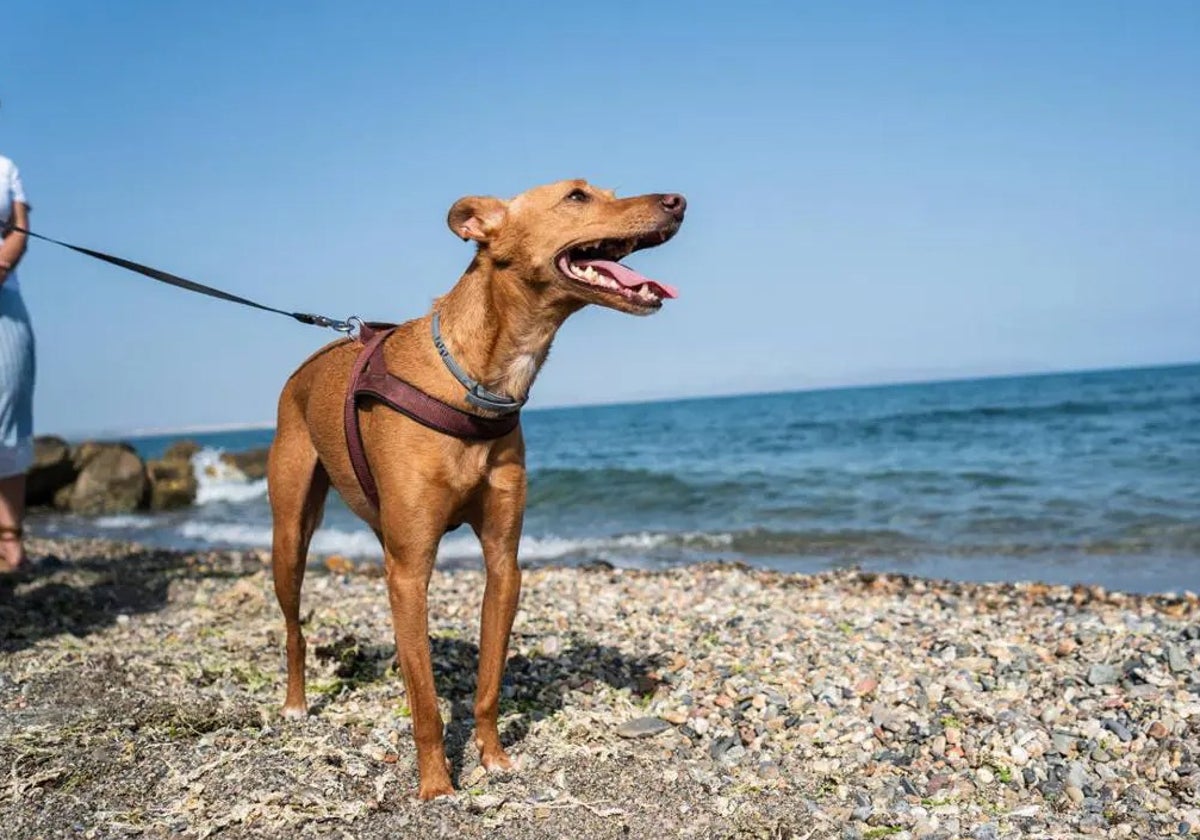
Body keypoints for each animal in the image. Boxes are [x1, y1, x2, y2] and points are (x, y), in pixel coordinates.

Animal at [268, 180, 691, 796]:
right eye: (577, 196)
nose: (677, 200)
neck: (480, 378)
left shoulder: (502, 560)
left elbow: (488, 679)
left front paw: (492, 757)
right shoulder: (411, 568)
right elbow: (425, 703)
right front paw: (436, 785)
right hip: (291, 534)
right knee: (295, 629)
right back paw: (297, 705)